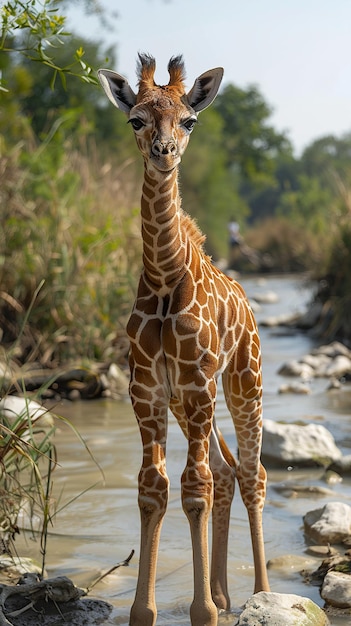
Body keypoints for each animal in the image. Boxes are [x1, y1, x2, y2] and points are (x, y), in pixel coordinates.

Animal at [97, 53, 270, 624]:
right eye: (136, 119)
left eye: (189, 121)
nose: (164, 152)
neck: (164, 278)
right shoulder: (149, 390)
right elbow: (154, 488)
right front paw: (146, 612)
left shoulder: (196, 384)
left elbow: (194, 489)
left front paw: (203, 612)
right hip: (194, 400)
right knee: (226, 470)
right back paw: (224, 592)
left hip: (243, 384)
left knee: (251, 473)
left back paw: (260, 593)